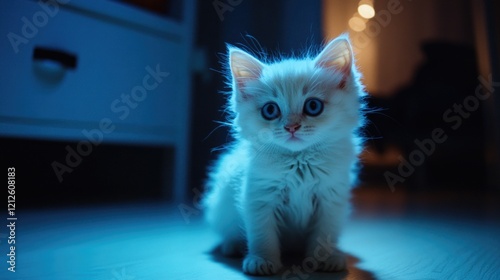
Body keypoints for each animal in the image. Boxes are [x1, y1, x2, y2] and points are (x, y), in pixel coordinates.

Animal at [204, 35, 368, 276]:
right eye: (270, 110)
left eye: (313, 106)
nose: (292, 127)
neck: (299, 162)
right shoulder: (259, 197)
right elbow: (263, 235)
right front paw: (262, 260)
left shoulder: (331, 198)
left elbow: (324, 234)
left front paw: (325, 259)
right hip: (221, 204)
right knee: (228, 232)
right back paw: (232, 246)